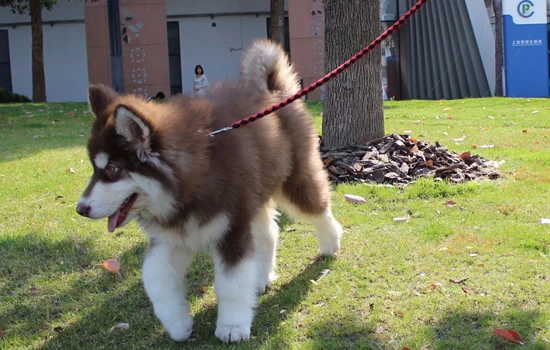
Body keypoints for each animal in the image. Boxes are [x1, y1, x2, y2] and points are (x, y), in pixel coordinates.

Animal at [75, 39, 342, 344]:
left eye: (112, 170)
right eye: (95, 169)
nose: (80, 208)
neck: (189, 184)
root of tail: (274, 91)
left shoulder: (231, 230)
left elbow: (230, 284)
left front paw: (232, 326)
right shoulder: (173, 236)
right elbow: (154, 278)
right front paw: (177, 323)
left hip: (292, 181)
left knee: (318, 208)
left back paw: (331, 244)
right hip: (253, 195)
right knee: (268, 233)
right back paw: (260, 278)